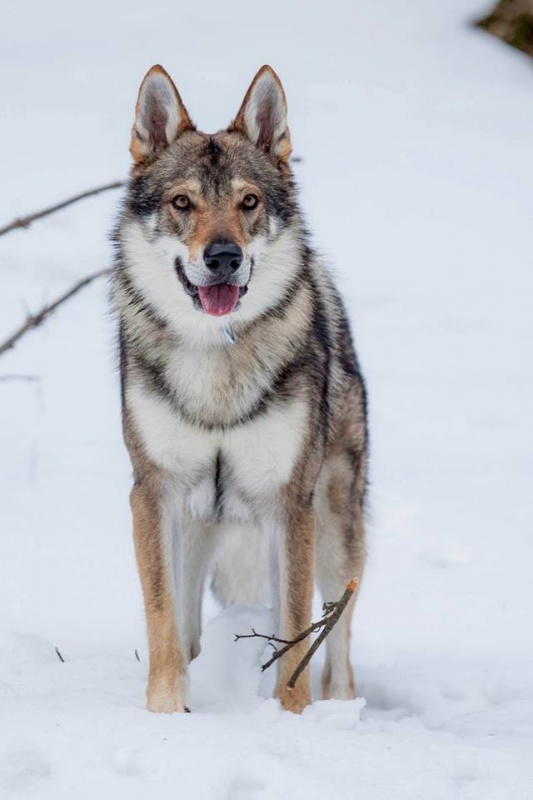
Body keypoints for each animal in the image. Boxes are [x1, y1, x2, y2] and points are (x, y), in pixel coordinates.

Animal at [111, 64, 370, 712]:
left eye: (248, 202)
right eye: (183, 202)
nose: (224, 256)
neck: (216, 360)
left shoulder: (290, 504)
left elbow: (296, 632)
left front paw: (293, 716)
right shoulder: (153, 493)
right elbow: (162, 619)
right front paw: (165, 712)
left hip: (337, 530)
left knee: (339, 643)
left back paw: (339, 708)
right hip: (198, 523)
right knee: (190, 629)